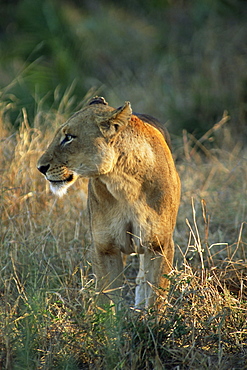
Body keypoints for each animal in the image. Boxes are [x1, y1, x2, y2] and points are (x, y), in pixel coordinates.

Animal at [37, 97, 179, 308]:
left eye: (69, 137)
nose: (40, 167)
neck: (124, 184)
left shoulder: (159, 245)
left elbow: (155, 298)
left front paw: (150, 317)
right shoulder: (104, 248)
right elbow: (106, 301)